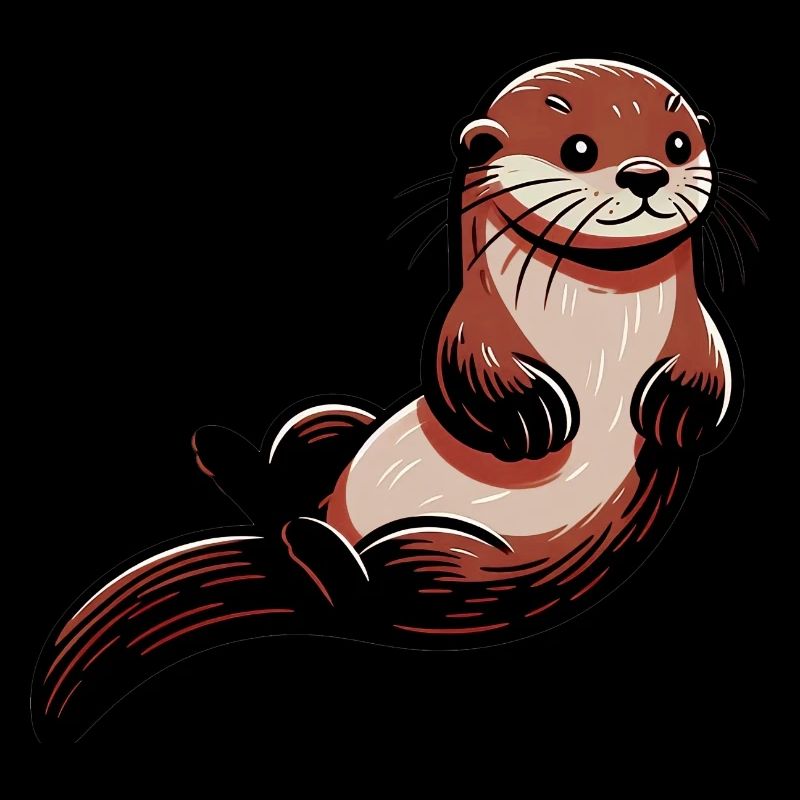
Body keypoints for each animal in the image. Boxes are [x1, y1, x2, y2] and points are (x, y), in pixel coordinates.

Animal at [33, 57, 742, 741]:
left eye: (678, 143)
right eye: (577, 148)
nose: (646, 173)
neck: (597, 322)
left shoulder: (697, 327)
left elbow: (711, 371)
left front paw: (676, 415)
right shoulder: (470, 321)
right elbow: (466, 369)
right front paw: (532, 418)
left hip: (463, 567)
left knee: (361, 587)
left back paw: (295, 523)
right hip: (347, 455)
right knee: (326, 539)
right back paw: (238, 465)